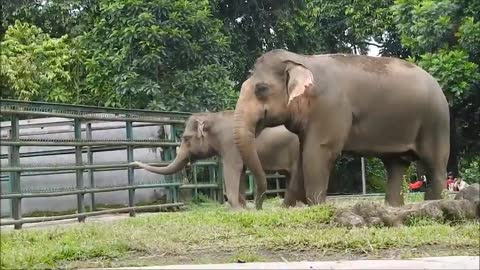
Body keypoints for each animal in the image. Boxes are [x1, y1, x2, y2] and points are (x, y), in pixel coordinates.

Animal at [132, 109, 304, 209]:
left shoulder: (231, 144)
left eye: (186, 138)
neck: (213, 117)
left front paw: (235, 208)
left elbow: (232, 169)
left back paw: (287, 207)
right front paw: (242, 207)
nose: (134, 162)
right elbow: (241, 172)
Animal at [232, 49, 450, 209]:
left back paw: (434, 203)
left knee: (435, 164)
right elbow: (303, 156)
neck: (301, 60)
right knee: (395, 164)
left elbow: (317, 152)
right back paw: (393, 207)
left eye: (261, 89)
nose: (257, 207)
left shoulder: (330, 107)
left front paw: (317, 206)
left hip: (436, 121)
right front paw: (290, 208)